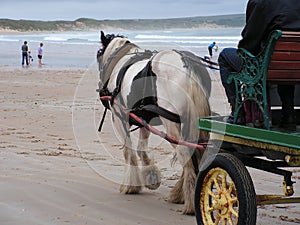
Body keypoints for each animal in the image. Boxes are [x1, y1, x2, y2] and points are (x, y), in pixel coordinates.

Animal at [96, 30, 211, 214]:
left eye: (99, 53)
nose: (101, 87)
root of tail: (186, 66)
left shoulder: (119, 117)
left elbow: (129, 151)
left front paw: (130, 186)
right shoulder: (145, 119)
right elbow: (141, 150)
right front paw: (151, 178)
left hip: (171, 122)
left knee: (185, 152)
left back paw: (190, 202)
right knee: (195, 151)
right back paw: (180, 194)